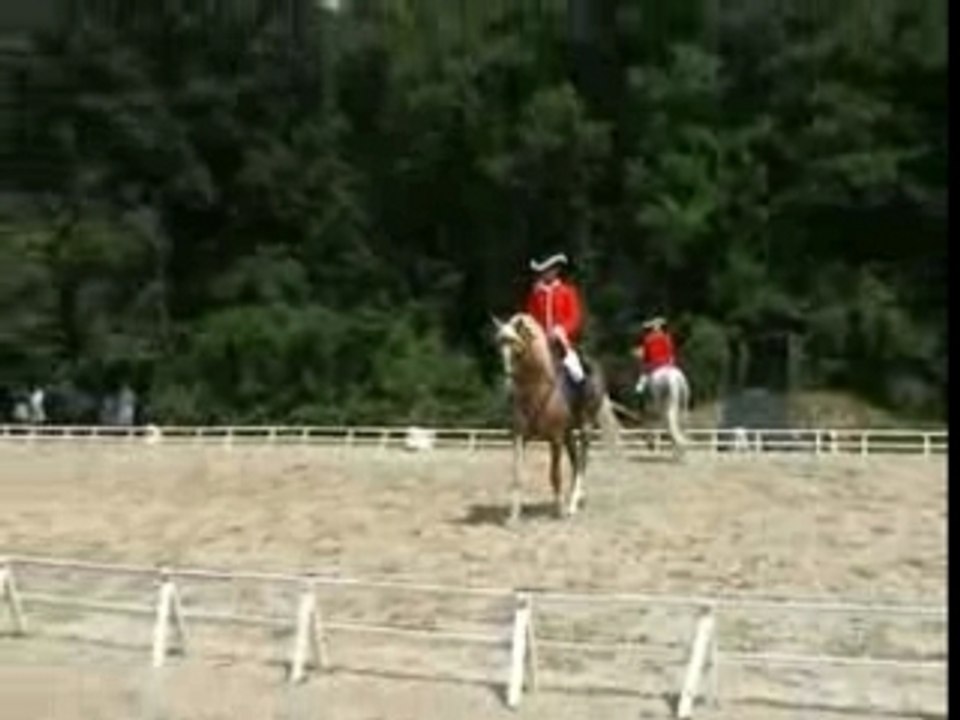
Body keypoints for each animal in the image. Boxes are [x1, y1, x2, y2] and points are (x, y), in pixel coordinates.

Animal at [492, 313, 620, 523]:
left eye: (517, 348)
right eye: (499, 346)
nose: (508, 387)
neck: (537, 389)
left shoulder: (555, 439)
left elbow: (555, 475)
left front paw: (559, 511)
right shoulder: (519, 437)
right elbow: (517, 475)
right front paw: (513, 516)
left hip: (584, 428)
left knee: (582, 462)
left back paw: (572, 505)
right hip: (569, 434)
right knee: (576, 462)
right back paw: (575, 498)